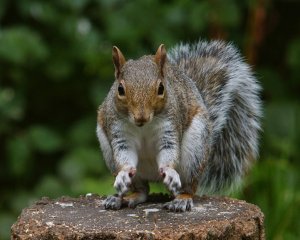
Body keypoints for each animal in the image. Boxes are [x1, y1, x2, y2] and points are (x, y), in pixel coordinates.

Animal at [97, 39, 262, 212]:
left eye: (161, 88)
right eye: (120, 89)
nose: (141, 117)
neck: (144, 127)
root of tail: (153, 175)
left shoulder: (170, 127)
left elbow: (169, 150)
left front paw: (169, 170)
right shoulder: (118, 131)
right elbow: (124, 154)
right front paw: (124, 173)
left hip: (195, 151)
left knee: (189, 187)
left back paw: (182, 199)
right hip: (113, 156)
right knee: (142, 190)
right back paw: (123, 198)